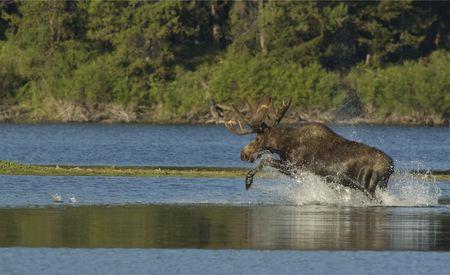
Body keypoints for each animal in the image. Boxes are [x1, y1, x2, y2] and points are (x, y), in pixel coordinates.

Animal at [218, 97, 394, 198]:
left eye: (258, 138)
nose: (244, 154)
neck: (283, 145)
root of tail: (390, 166)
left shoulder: (297, 167)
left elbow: (266, 160)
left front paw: (248, 181)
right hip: (382, 186)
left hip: (367, 185)